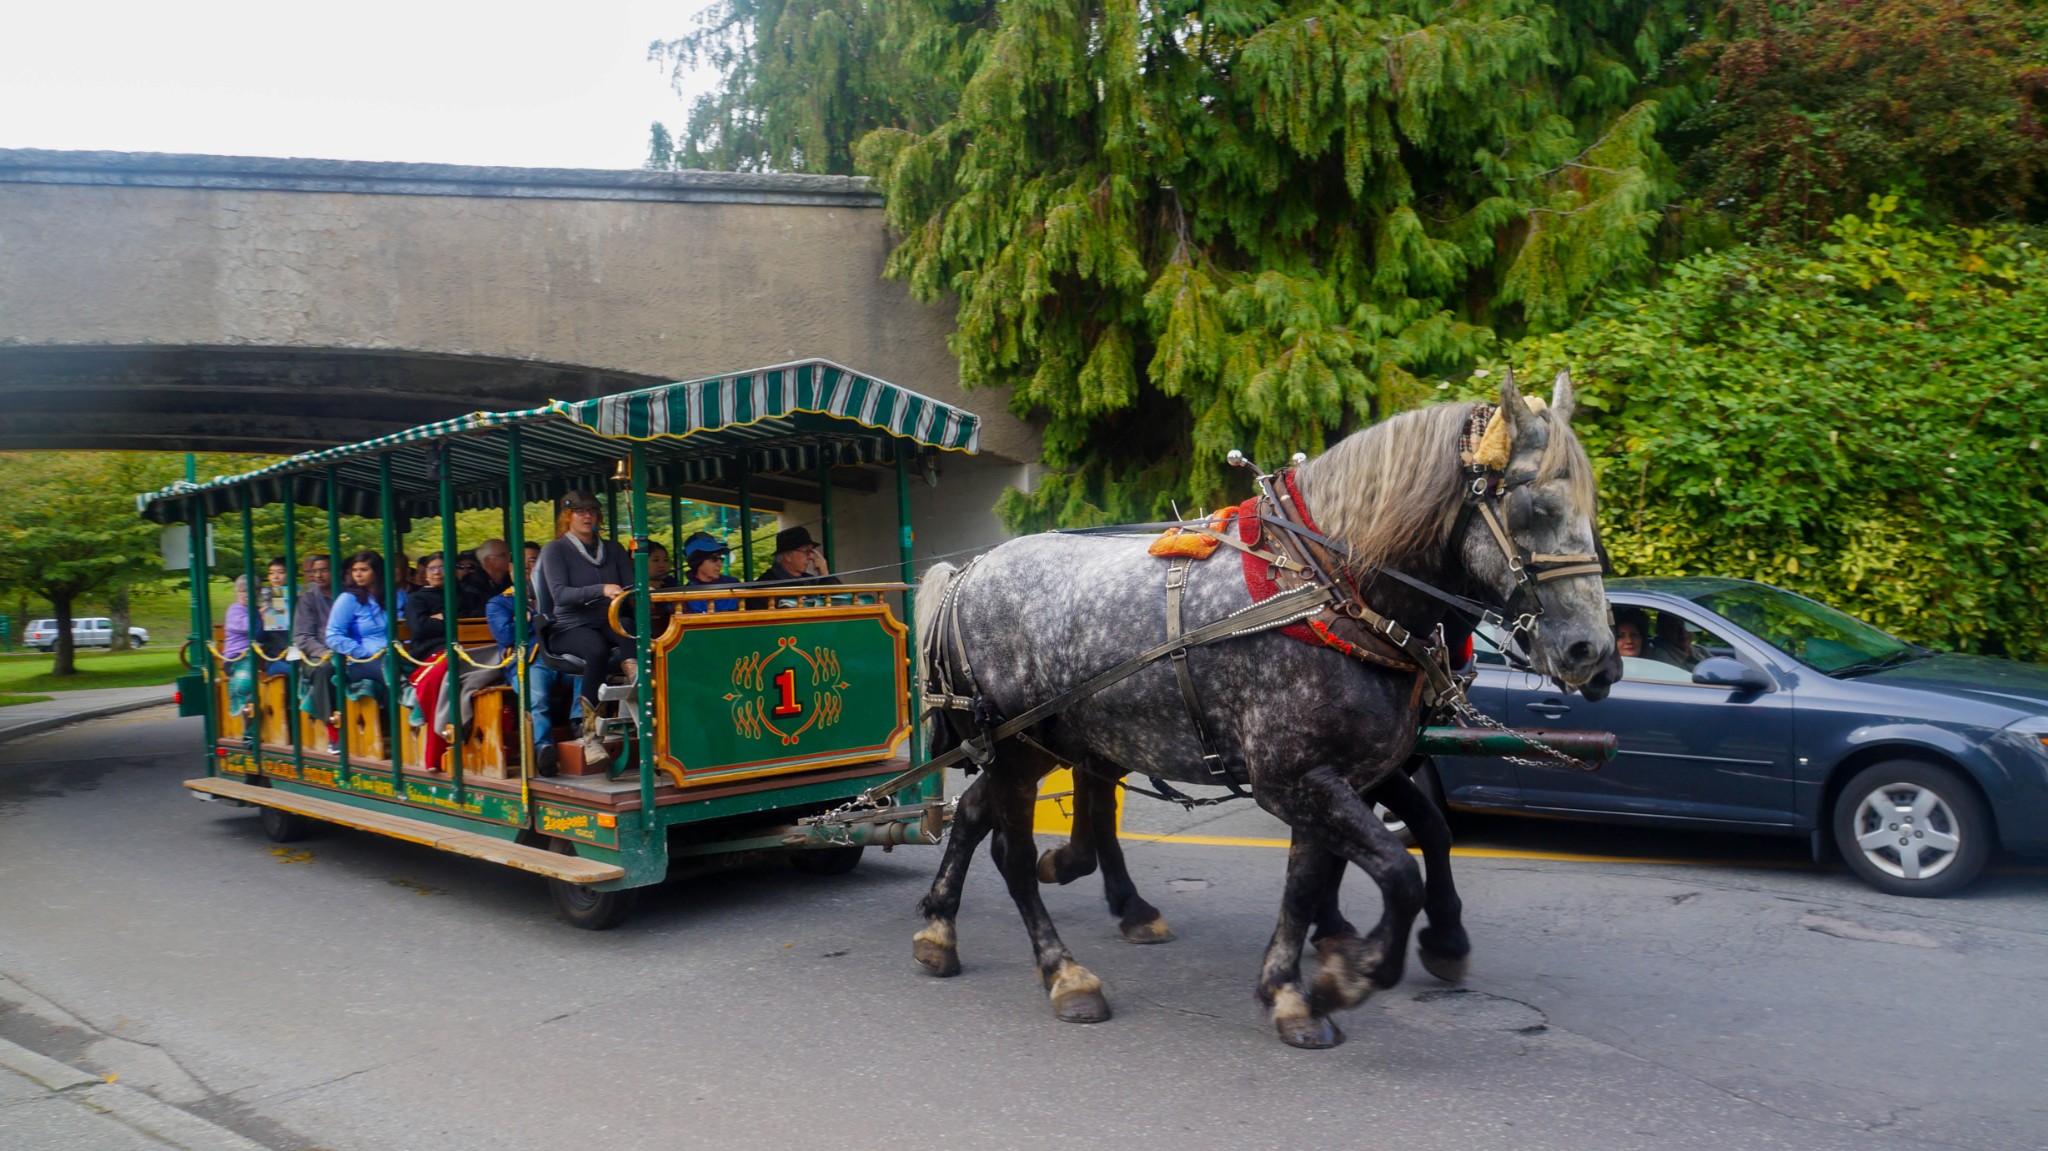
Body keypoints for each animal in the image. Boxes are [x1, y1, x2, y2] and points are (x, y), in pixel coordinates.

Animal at [917, 372, 1613, 1044]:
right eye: (1536, 506)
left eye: (1593, 511)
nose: (1594, 651)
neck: (1325, 590)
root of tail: (968, 573)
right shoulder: (1293, 778)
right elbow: (1396, 871)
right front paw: (1352, 974)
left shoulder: (1335, 775)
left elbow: (1320, 877)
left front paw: (1293, 987)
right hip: (1016, 747)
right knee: (1011, 854)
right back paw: (1064, 973)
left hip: (1053, 743)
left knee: (980, 815)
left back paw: (943, 928)